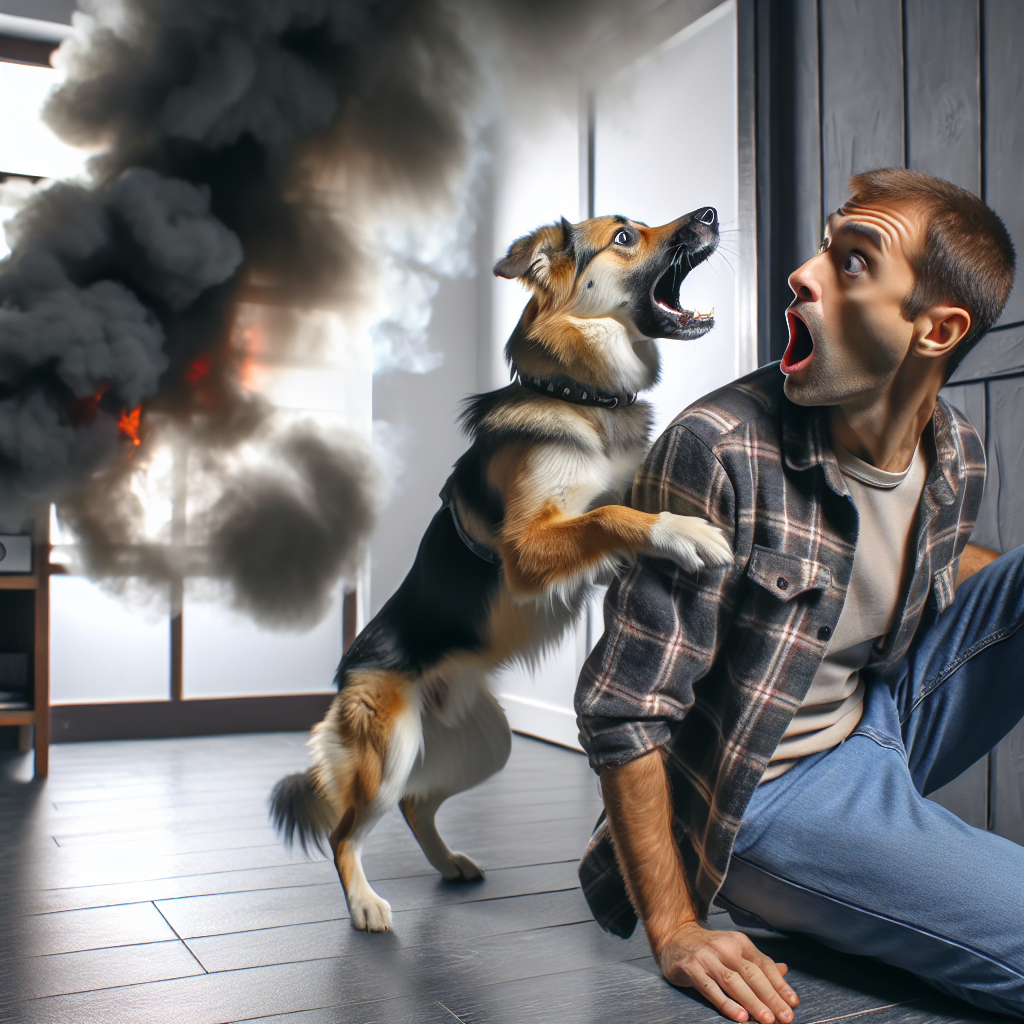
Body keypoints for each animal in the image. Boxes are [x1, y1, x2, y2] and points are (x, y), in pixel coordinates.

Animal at [270, 205, 737, 929]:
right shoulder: (526, 549)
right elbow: (609, 516)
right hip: (390, 751)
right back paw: (366, 905)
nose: (711, 213)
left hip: (487, 745)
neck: (583, 398)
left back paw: (450, 865)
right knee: (344, 833)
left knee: (417, 803)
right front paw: (683, 532)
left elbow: (614, 514)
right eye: (624, 236)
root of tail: (350, 671)